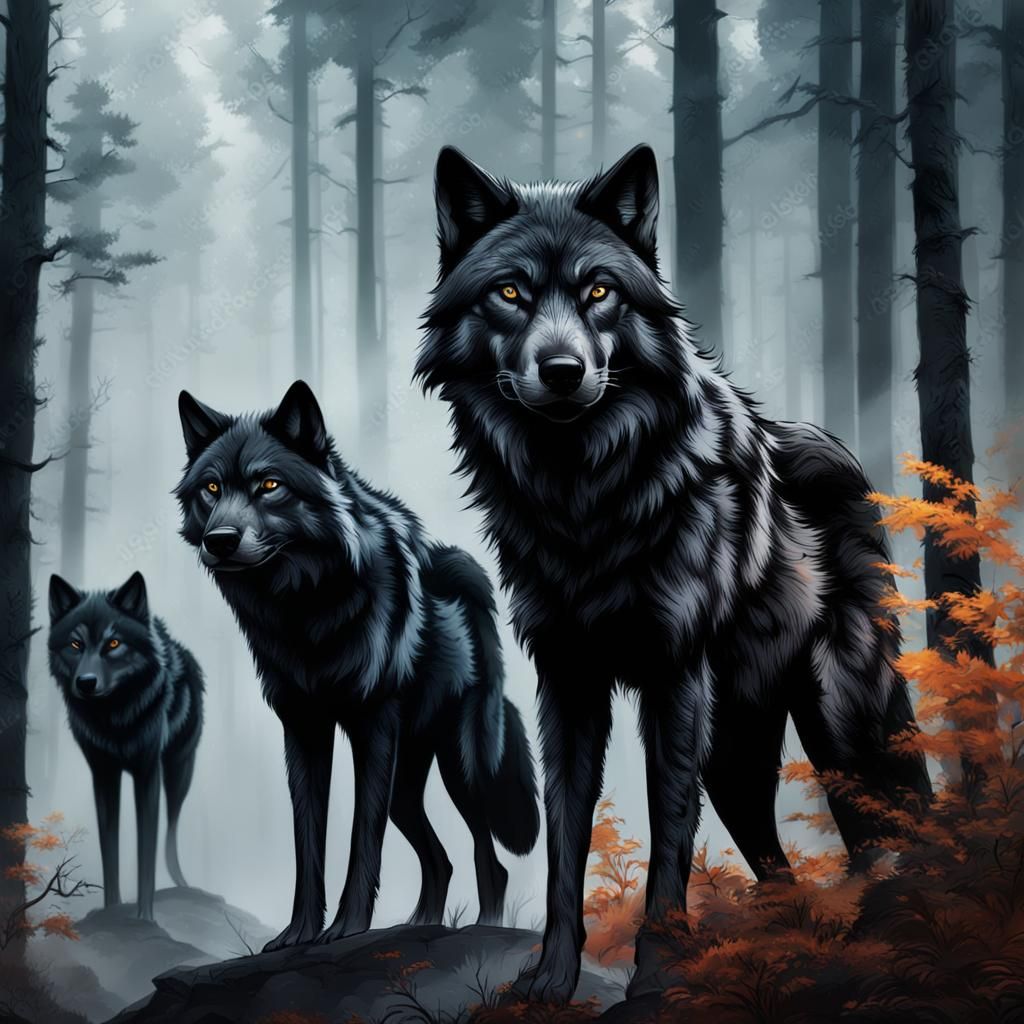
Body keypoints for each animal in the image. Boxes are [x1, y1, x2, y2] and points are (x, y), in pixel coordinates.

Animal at [47, 572, 204, 921]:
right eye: (75, 644)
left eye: (113, 643)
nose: (86, 682)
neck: (113, 719)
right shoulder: (103, 774)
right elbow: (110, 853)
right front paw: (113, 910)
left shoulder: (147, 773)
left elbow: (146, 854)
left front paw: (145, 919)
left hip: (179, 773)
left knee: (171, 831)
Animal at [174, 380, 539, 950]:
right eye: (211, 489)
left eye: (270, 485)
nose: (221, 540)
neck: (305, 608)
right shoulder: (303, 728)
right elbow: (308, 841)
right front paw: (299, 933)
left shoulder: (373, 724)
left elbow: (361, 835)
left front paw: (346, 930)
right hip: (406, 788)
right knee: (440, 860)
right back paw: (420, 926)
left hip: (460, 765)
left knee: (490, 861)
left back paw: (485, 928)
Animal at [415, 144, 933, 1001]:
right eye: (510, 292)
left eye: (599, 290)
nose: (563, 370)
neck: (583, 499)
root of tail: (839, 452)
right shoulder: (567, 682)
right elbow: (565, 838)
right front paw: (551, 980)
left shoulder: (674, 677)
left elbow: (668, 837)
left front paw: (659, 973)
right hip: (738, 754)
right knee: (783, 869)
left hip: (839, 721)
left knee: (885, 826)